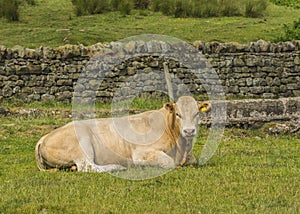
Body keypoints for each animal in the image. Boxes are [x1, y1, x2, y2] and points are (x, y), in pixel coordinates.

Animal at [35, 96, 211, 173]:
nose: (189, 131)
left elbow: (193, 159)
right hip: (82, 144)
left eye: (196, 113)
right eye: (178, 114)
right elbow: (168, 162)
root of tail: (43, 138)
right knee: (88, 167)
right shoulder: (141, 153)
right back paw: (117, 167)